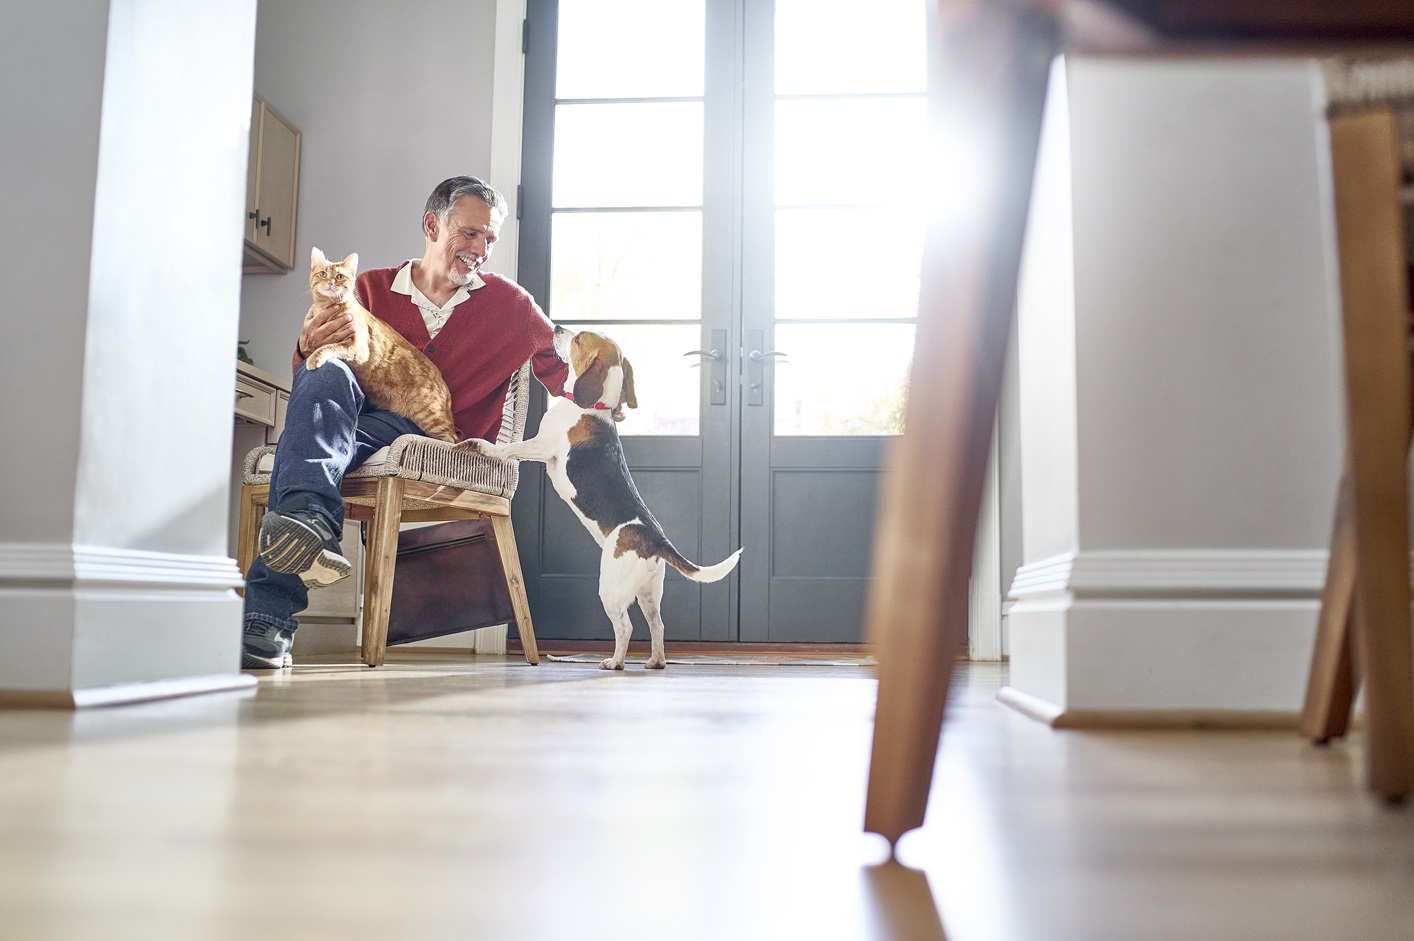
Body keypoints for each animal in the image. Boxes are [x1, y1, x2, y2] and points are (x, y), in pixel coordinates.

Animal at [305, 247, 455, 441]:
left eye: (339, 276)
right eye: (322, 274)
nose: (330, 282)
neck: (327, 307)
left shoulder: (357, 346)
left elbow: (329, 347)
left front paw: (314, 358)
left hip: (430, 418)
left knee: (452, 441)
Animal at [466, 326, 752, 670]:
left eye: (579, 338)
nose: (557, 328)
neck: (594, 406)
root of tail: (657, 540)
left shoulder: (541, 446)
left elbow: (509, 449)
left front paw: (485, 446)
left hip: (612, 591)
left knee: (625, 627)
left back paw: (614, 661)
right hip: (648, 593)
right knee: (658, 625)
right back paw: (655, 661)